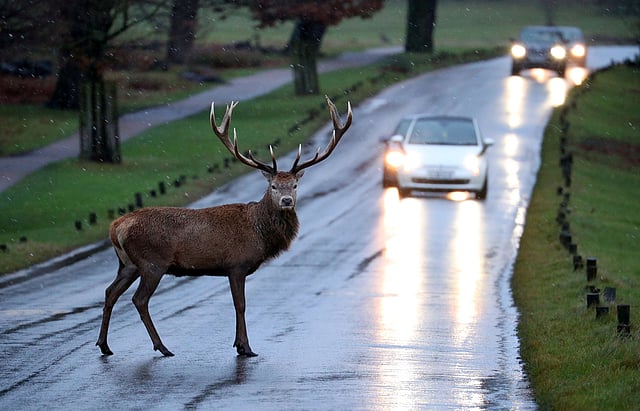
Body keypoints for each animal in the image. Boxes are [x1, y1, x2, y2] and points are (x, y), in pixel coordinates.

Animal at [96, 96, 352, 358]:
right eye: (273, 186)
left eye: (294, 185)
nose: (286, 201)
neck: (260, 233)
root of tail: (116, 227)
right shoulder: (236, 264)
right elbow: (241, 305)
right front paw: (245, 347)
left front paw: (240, 345)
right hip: (152, 262)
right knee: (139, 299)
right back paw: (162, 347)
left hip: (128, 264)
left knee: (110, 292)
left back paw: (105, 345)